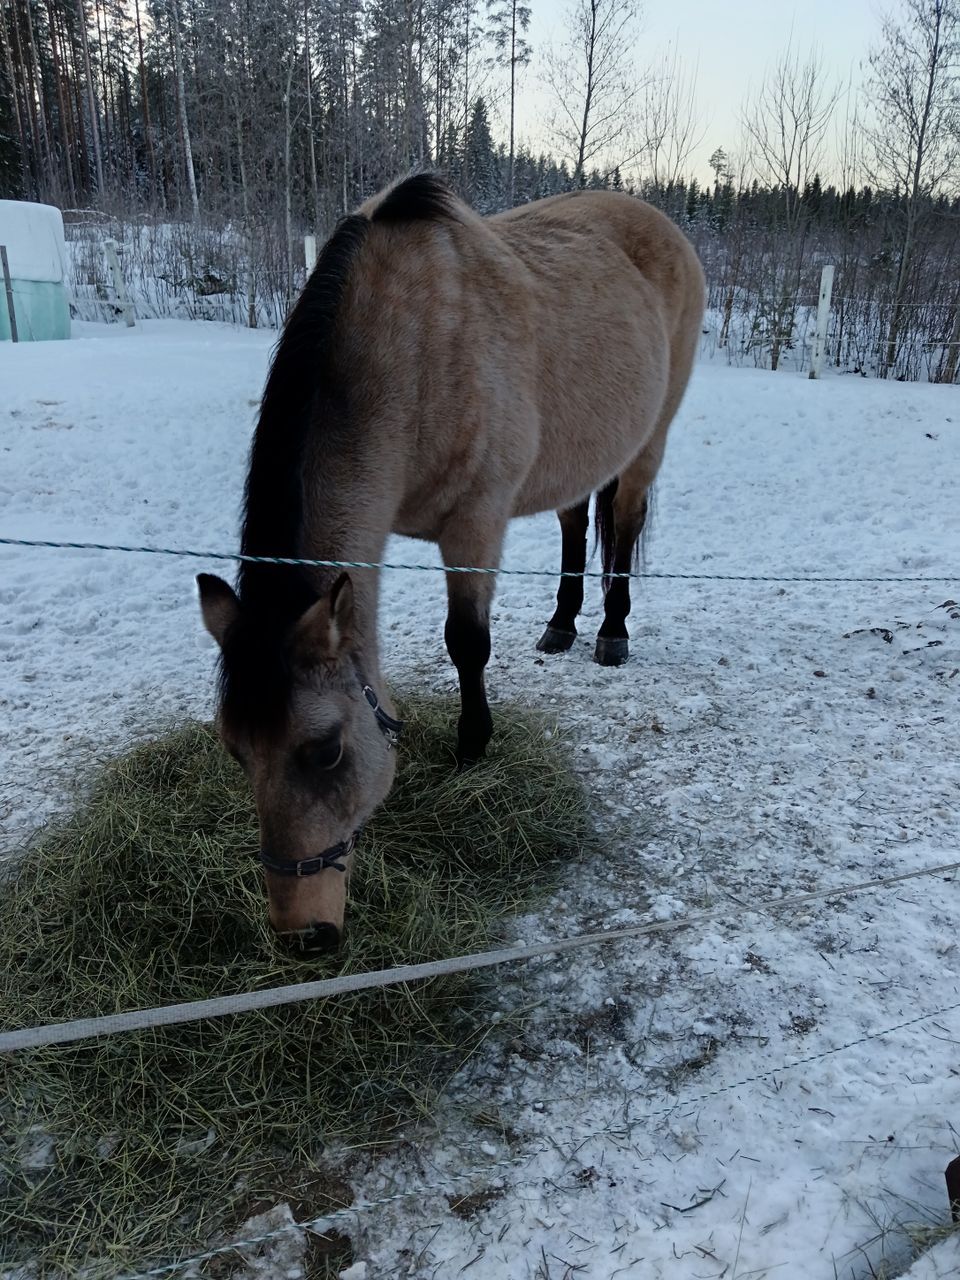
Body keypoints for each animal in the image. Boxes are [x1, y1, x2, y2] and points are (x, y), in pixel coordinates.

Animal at [197, 167, 706, 952]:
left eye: (325, 750)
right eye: (235, 750)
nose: (302, 935)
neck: (408, 354)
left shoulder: (475, 527)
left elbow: (466, 643)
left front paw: (472, 748)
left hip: (651, 439)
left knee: (621, 523)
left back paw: (611, 632)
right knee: (574, 520)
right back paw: (562, 625)